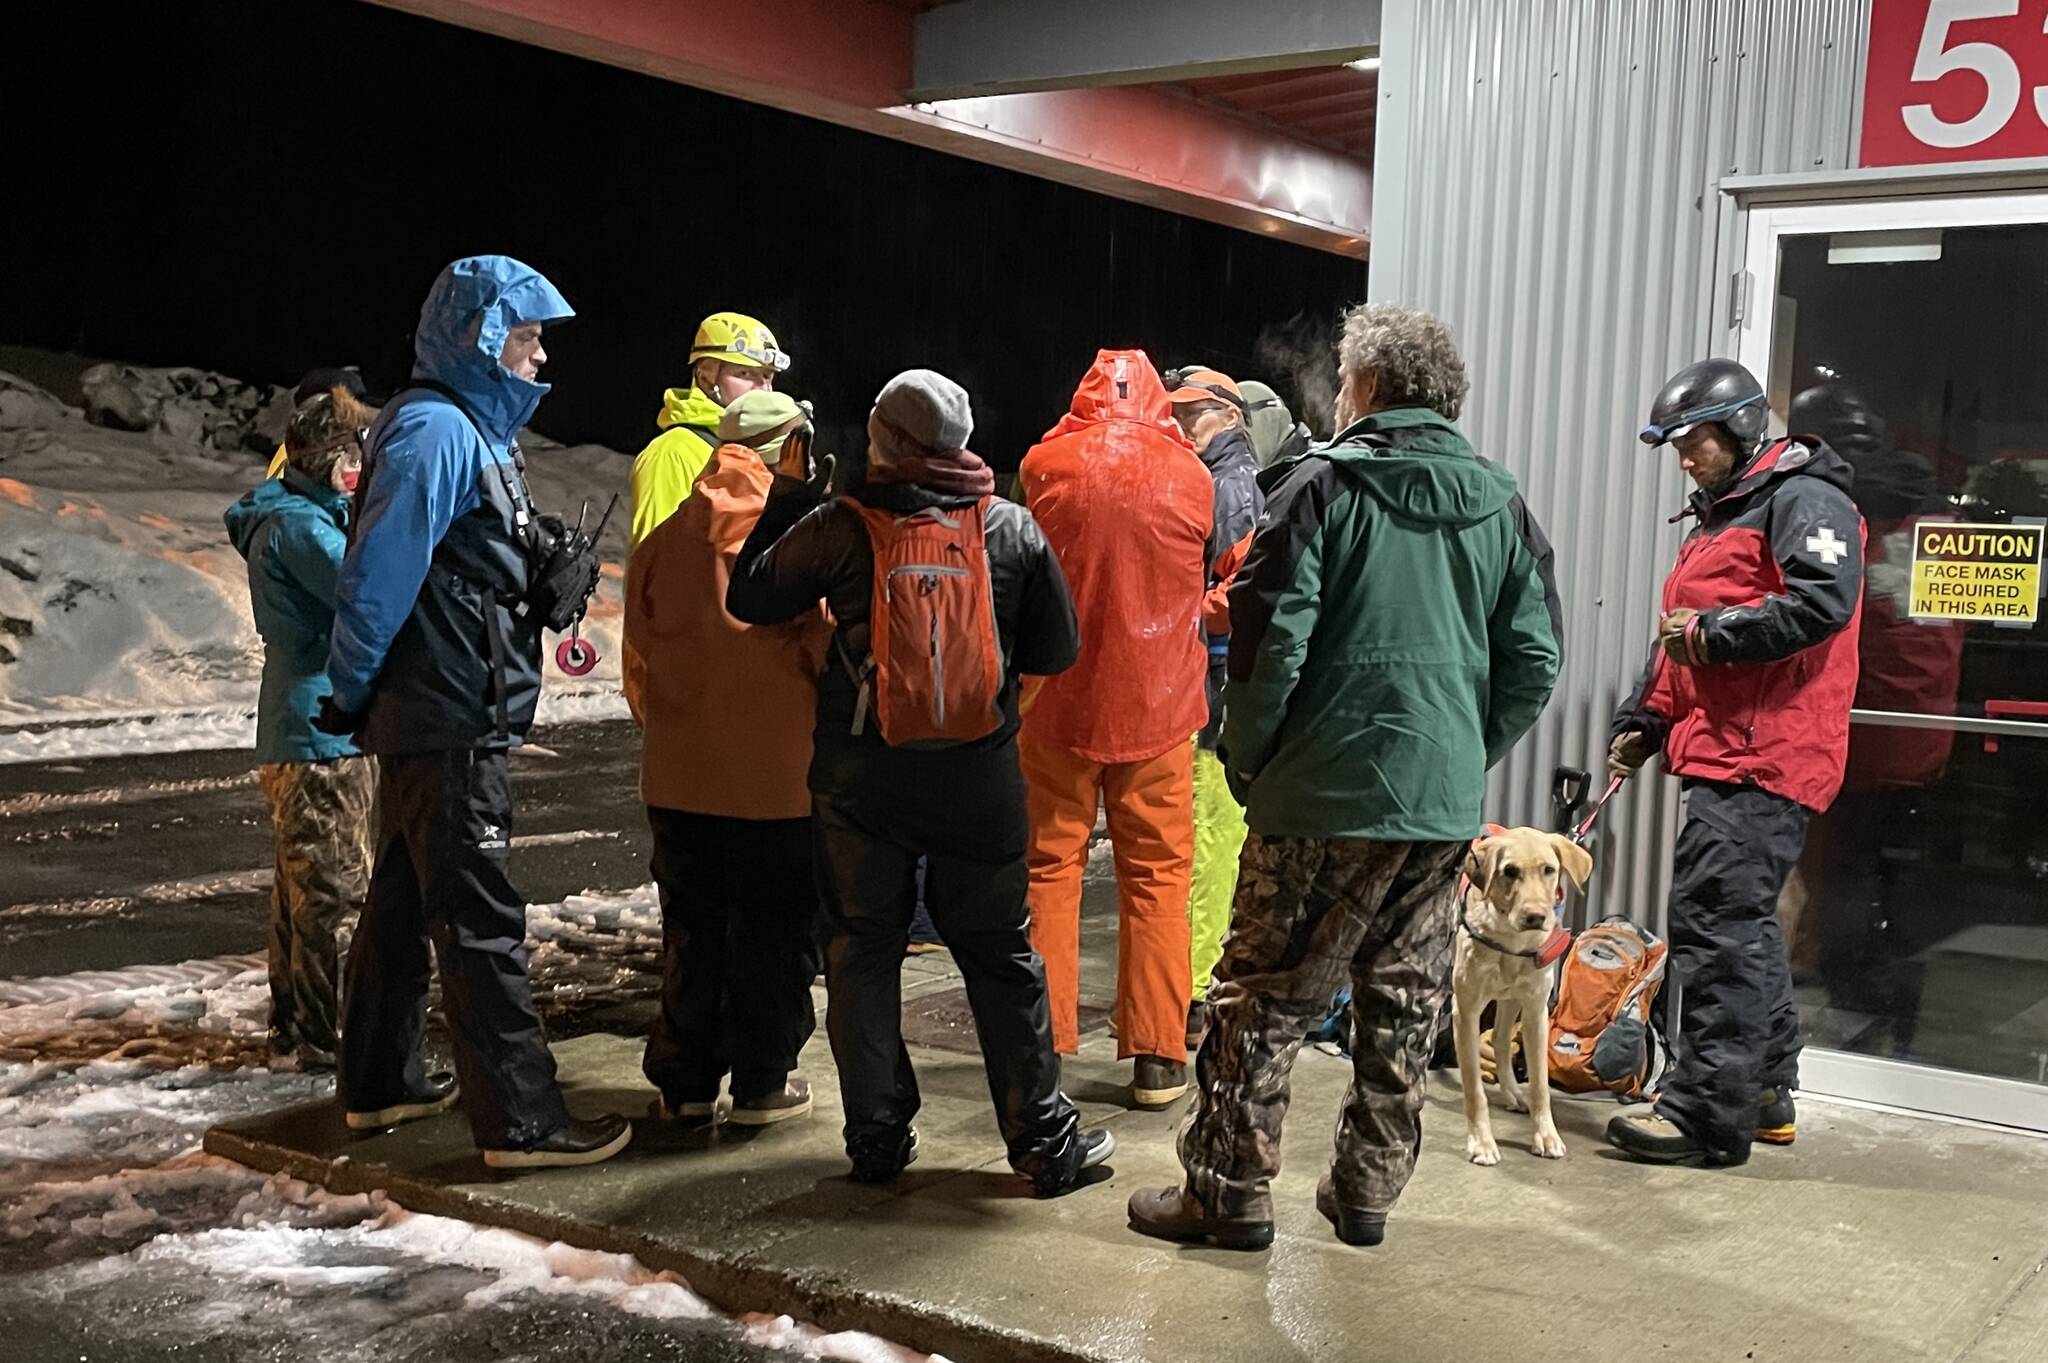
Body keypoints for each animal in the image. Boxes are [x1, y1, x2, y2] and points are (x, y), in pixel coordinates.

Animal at [1449, 822, 1589, 1162]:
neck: (1511, 941)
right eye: (1509, 871)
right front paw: (1481, 1142)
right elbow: (1474, 1087)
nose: (1535, 916)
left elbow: (1540, 1084)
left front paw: (1546, 1136)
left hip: (1511, 999)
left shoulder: (1536, 1011)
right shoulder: (1466, 1011)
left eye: (1549, 870)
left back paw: (1513, 1094)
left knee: (1500, 1040)